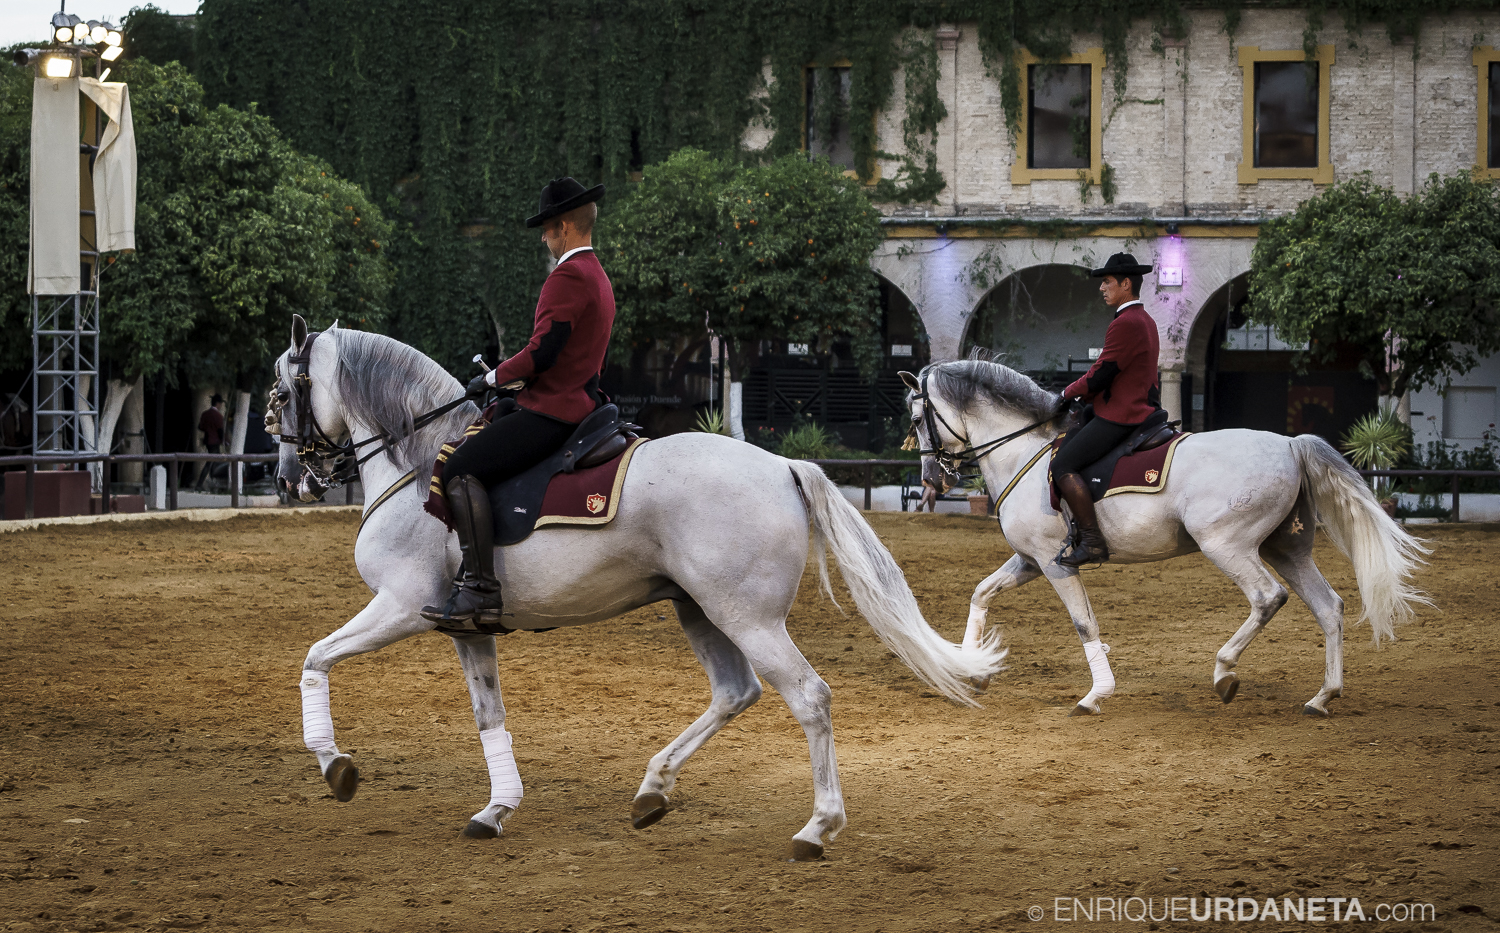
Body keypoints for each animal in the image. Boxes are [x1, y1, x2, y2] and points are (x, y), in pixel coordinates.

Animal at [267, 319, 1008, 864]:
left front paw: (335, 766)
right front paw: (497, 808)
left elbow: (314, 658)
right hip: (699, 609)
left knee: (809, 696)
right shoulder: (466, 627)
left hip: (747, 617)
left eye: (280, 394)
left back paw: (815, 827)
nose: (288, 480)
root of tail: (782, 466)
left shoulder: (399, 606)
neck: (419, 462)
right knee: (735, 692)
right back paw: (653, 789)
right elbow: (488, 716)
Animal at [900, 358, 1428, 717]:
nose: (931, 479)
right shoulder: (1030, 561)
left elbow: (1084, 624)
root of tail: (1289, 444)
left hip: (1226, 545)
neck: (1023, 451)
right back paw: (1322, 697)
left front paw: (1095, 695)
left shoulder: (1052, 562)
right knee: (1329, 606)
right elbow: (981, 592)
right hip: (1286, 549)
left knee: (1267, 597)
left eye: (917, 418)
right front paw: (971, 670)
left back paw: (1224, 671)